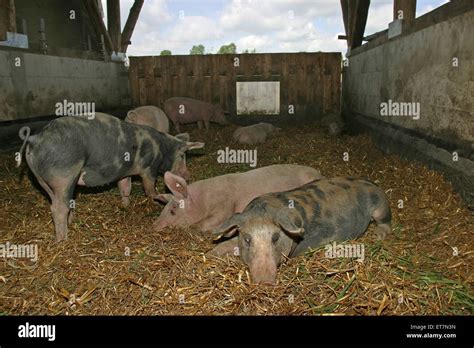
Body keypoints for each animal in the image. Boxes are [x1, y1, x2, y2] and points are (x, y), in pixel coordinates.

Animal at [211, 177, 388, 286]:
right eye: (247, 239)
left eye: (275, 238)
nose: (264, 282)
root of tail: (371, 182)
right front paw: (212, 253)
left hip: (381, 206)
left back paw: (379, 236)